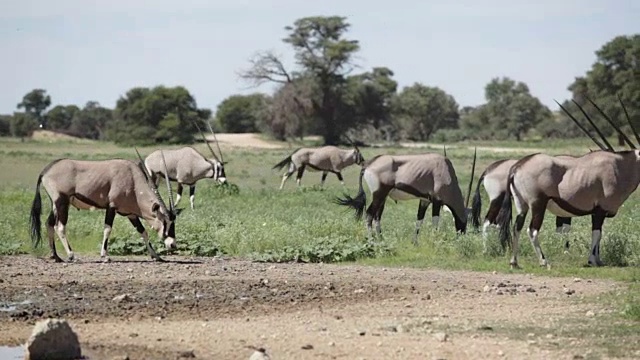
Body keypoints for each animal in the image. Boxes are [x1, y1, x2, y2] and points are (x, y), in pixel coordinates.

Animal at [28, 148, 181, 262]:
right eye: (165, 221)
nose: (172, 244)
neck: (132, 180)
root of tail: (46, 170)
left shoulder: (130, 214)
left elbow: (143, 231)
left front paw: (156, 256)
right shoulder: (111, 207)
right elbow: (108, 229)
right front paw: (105, 256)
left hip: (56, 204)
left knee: (49, 223)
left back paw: (56, 256)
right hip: (62, 202)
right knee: (59, 227)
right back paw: (71, 255)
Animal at [336, 148, 476, 243]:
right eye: (467, 220)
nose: (461, 236)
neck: (446, 171)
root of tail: (368, 164)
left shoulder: (425, 200)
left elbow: (419, 220)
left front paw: (415, 242)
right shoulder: (436, 201)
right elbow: (435, 222)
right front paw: (434, 241)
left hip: (383, 198)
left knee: (377, 216)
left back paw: (381, 239)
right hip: (378, 195)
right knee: (370, 214)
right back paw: (372, 241)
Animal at [498, 97, 640, 268]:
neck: (620, 166)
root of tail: (518, 166)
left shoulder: (597, 212)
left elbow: (599, 234)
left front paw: (598, 259)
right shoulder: (600, 210)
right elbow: (596, 233)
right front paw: (592, 260)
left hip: (521, 204)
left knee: (516, 228)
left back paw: (514, 262)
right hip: (538, 204)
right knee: (532, 230)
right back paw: (544, 261)